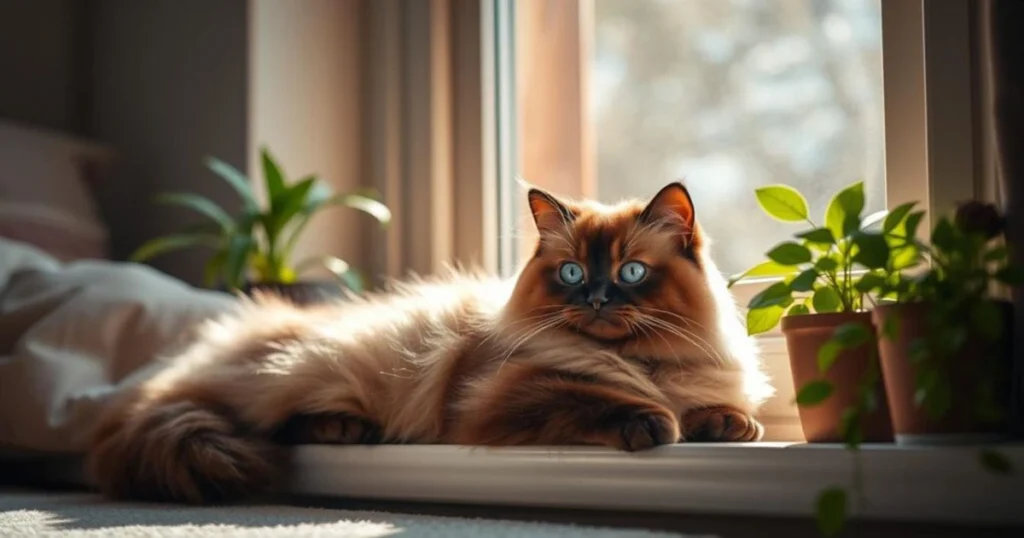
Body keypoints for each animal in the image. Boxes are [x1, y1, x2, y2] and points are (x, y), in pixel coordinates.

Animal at [88, 182, 770, 502]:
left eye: (630, 272)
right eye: (574, 273)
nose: (596, 300)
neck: (642, 364)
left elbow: (716, 411)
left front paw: (729, 424)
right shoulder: (501, 396)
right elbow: (595, 398)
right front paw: (653, 423)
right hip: (312, 371)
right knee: (263, 422)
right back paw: (346, 430)